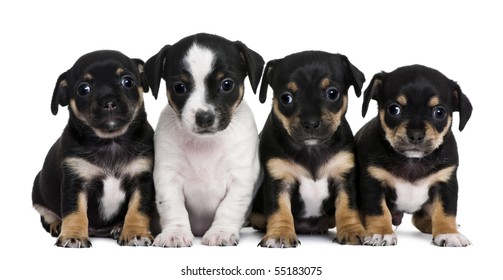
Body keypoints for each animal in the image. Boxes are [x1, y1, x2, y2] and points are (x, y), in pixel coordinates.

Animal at [32, 50, 157, 247]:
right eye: (84, 89)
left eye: (127, 82)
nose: (109, 102)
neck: (110, 141)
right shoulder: (75, 182)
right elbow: (75, 211)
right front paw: (73, 235)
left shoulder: (142, 180)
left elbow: (138, 209)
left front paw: (135, 233)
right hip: (38, 192)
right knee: (47, 215)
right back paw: (58, 224)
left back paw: (119, 227)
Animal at [145, 33, 266, 247]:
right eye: (179, 87)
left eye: (227, 84)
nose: (204, 117)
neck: (205, 145)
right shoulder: (168, 178)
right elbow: (173, 208)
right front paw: (175, 233)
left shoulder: (240, 179)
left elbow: (229, 207)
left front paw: (221, 232)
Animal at [251, 50, 366, 247]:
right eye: (286, 98)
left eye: (332, 93)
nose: (311, 123)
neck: (311, 150)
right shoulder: (278, 180)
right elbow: (279, 210)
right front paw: (280, 234)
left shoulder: (344, 178)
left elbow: (347, 206)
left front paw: (351, 231)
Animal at [356, 64, 474, 246]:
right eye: (394, 109)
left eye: (439, 112)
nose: (416, 135)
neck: (412, 161)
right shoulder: (373, 182)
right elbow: (378, 211)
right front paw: (381, 232)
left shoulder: (446, 184)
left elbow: (446, 211)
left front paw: (448, 232)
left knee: (420, 219)